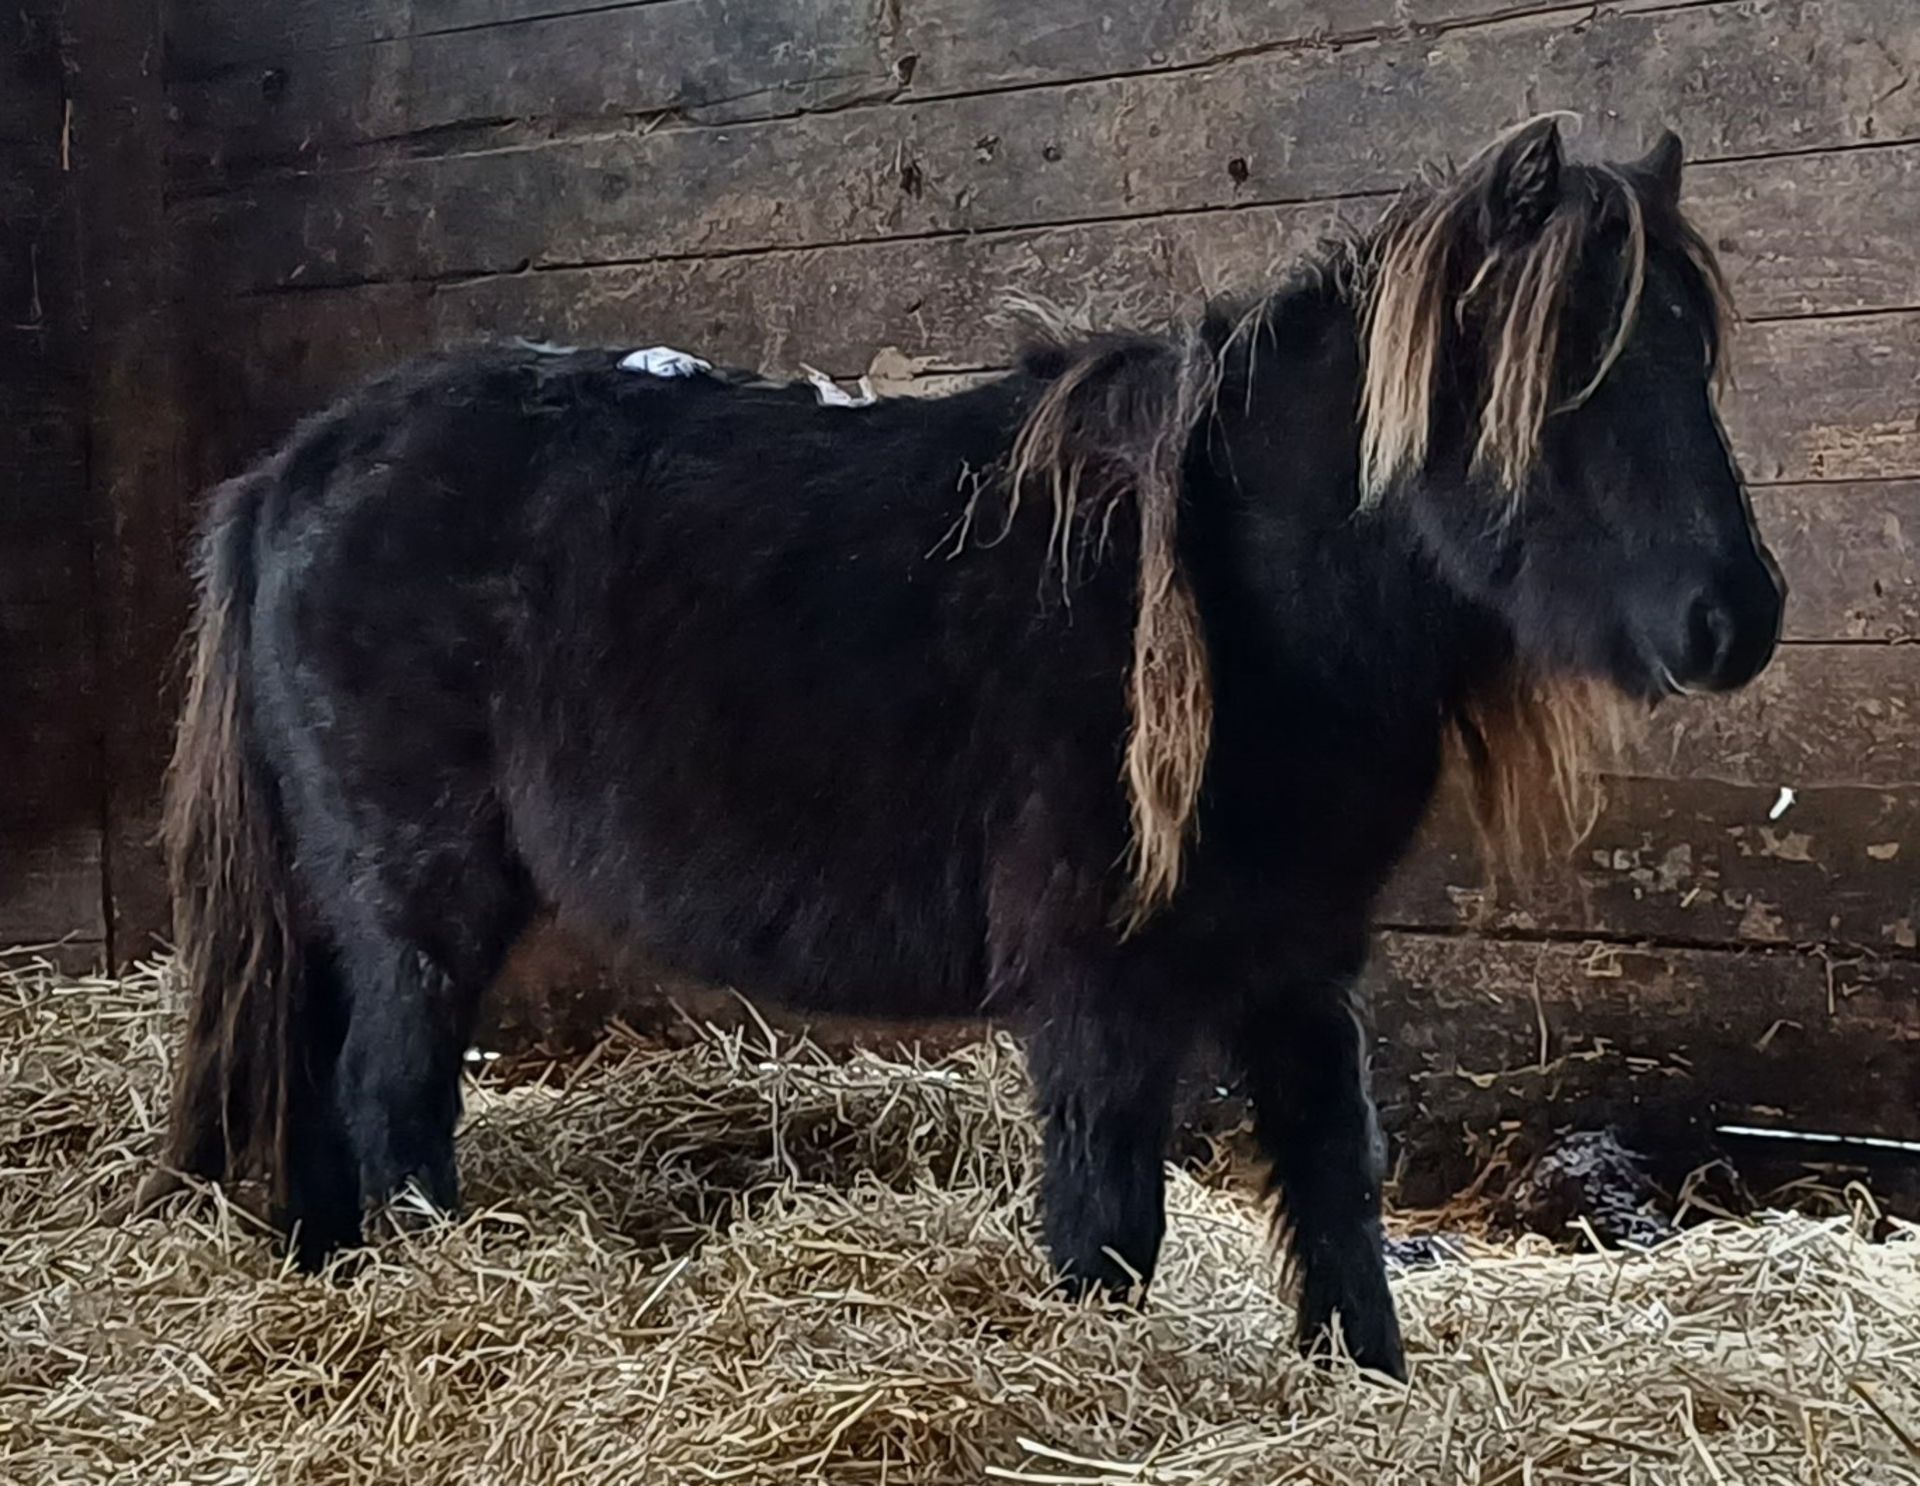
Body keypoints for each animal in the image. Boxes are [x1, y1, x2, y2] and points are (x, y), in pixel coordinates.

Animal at [149, 119, 1781, 1382]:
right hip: (420, 900)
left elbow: (1339, 1193)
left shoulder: (1300, 968)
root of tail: (291, 470)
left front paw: (1366, 1391)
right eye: (1566, 375)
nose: (1739, 616)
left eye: (1694, 355)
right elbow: (1114, 1226)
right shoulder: (1100, 994)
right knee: (391, 1098)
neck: (1237, 603)